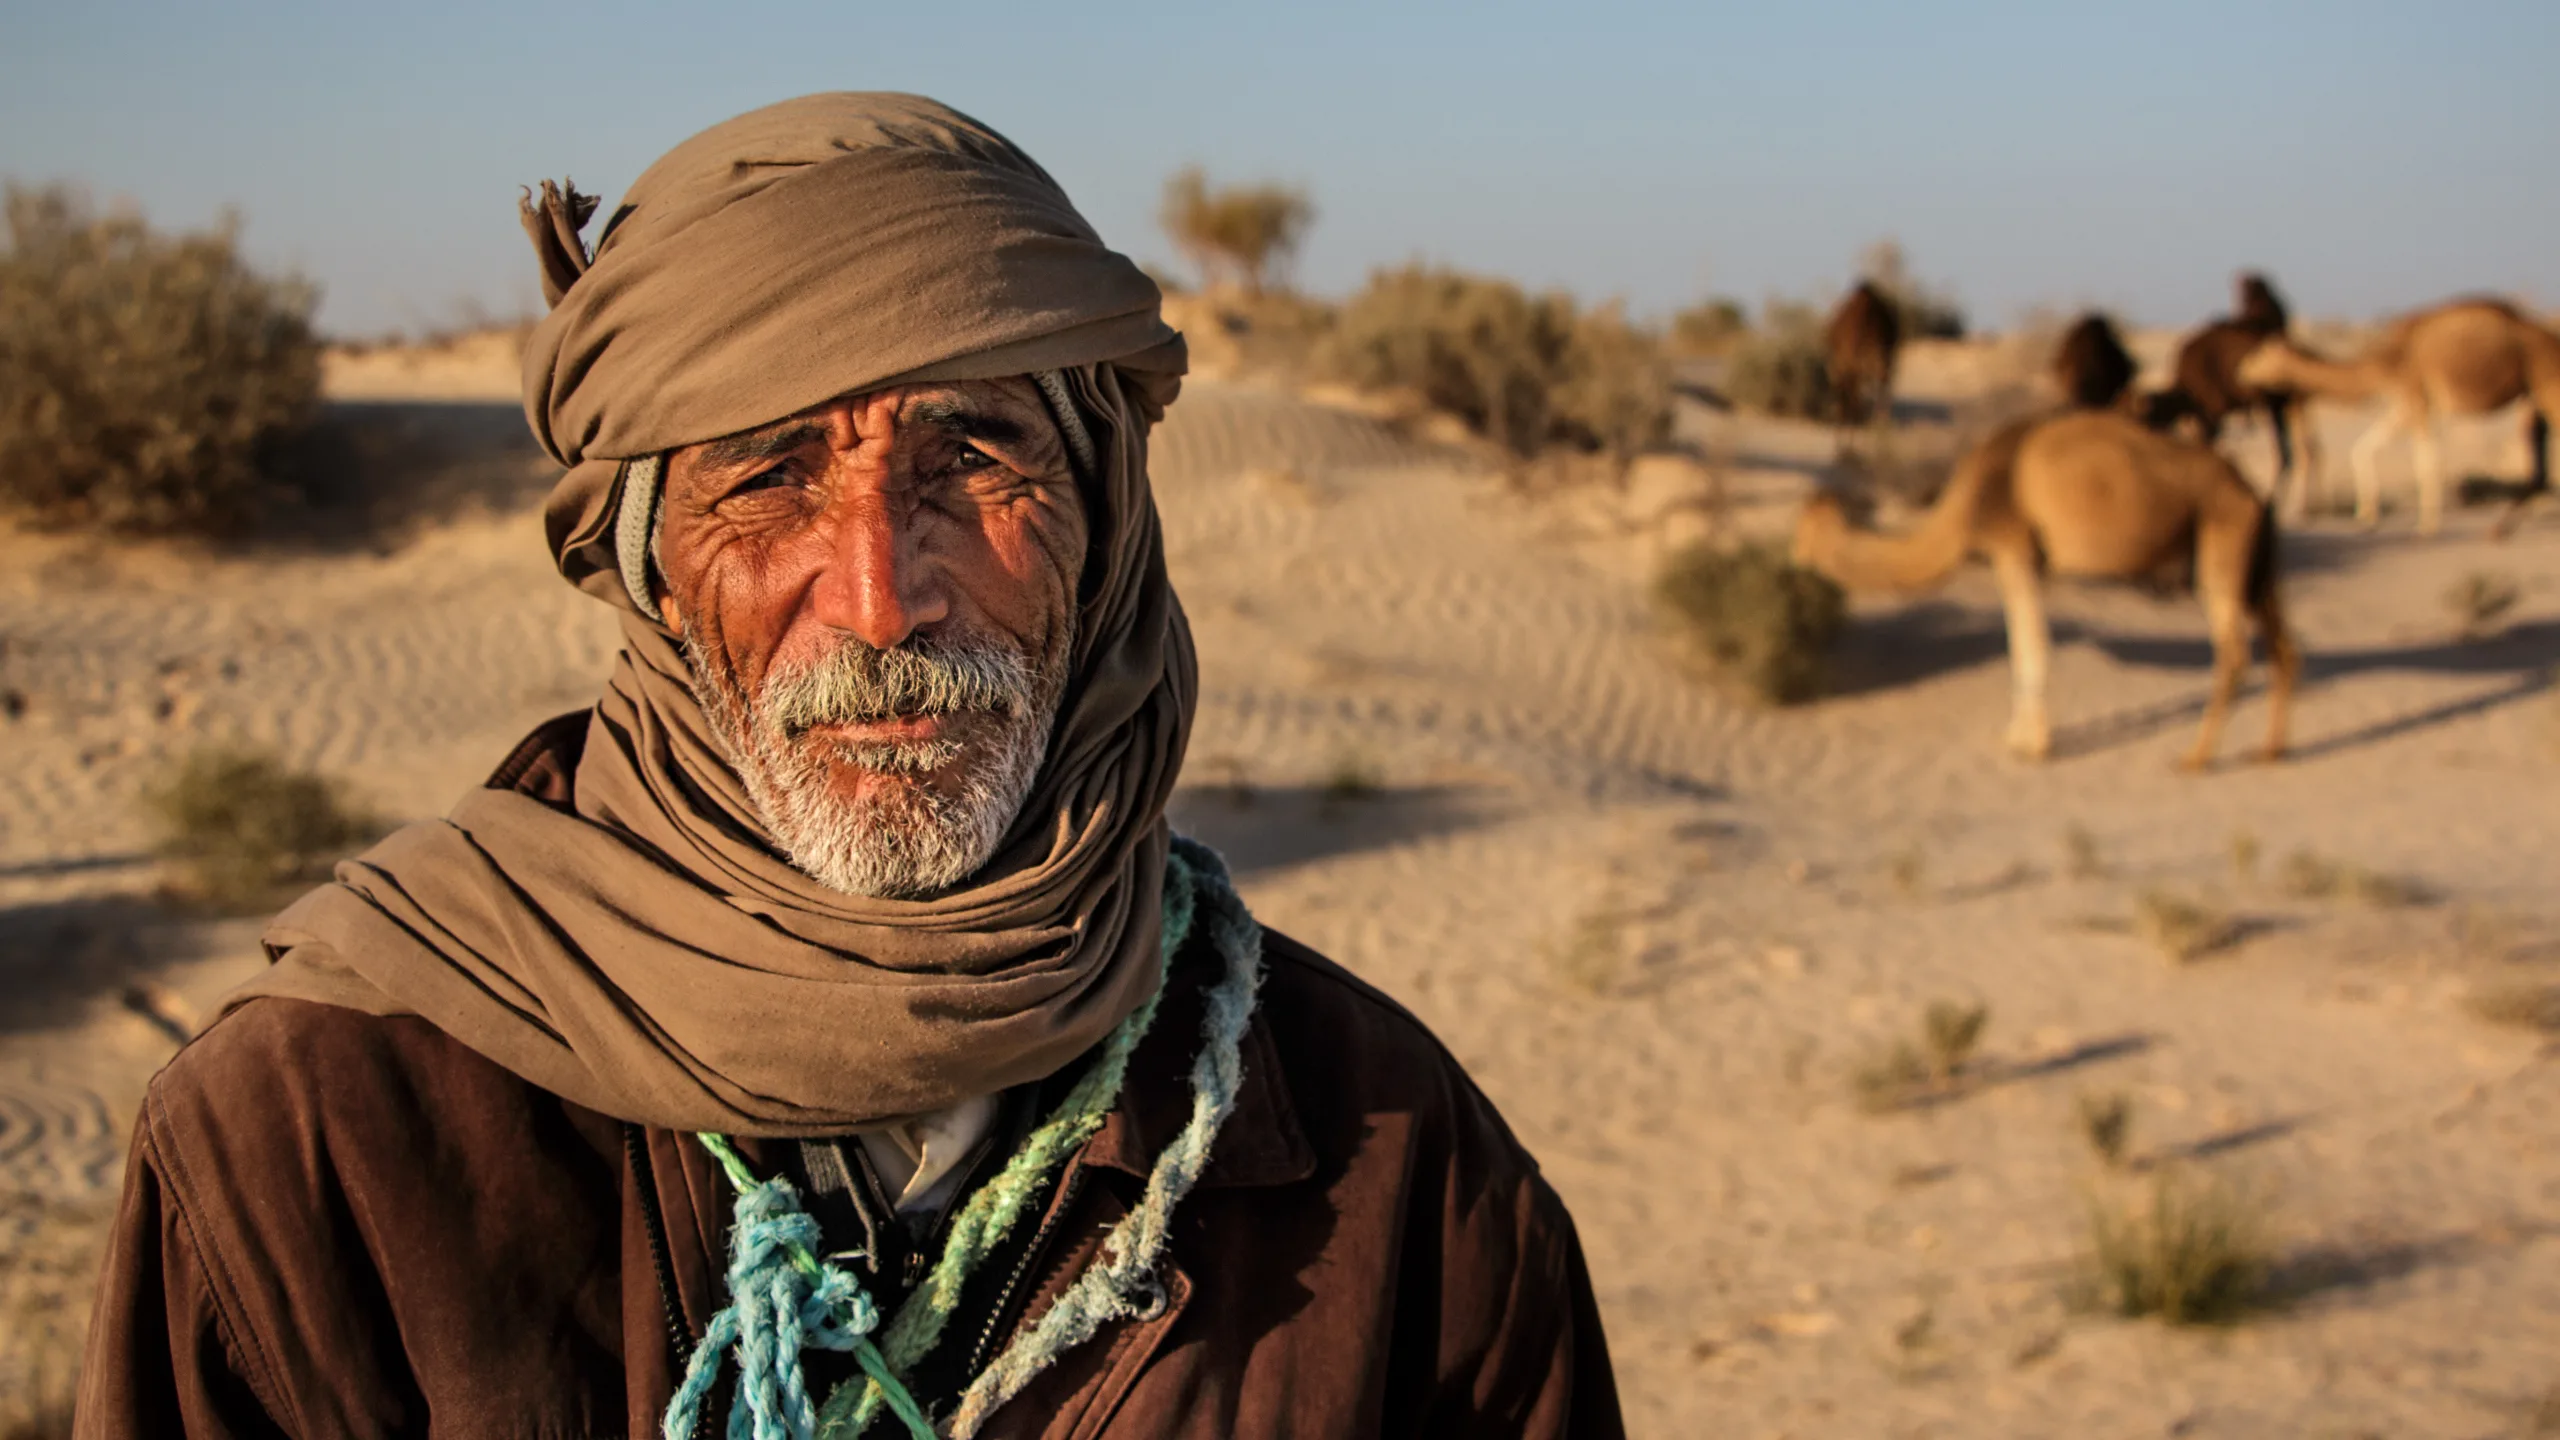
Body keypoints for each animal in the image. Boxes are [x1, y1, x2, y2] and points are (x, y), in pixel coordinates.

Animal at [1793, 410, 2298, 770]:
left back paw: (2196, 758)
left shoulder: (2011, 548)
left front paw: (2030, 746)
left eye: (1801, 528)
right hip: (2255, 558)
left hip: (2222, 536)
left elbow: (2030, 644)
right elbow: (2024, 643)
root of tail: (2250, 490)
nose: (1793, 560)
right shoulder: (2030, 560)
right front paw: (2020, 736)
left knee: (2234, 652)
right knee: (2282, 645)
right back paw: (2270, 751)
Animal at [2236, 296, 2560, 537]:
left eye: (2260, 353)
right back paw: (2502, 527)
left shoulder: (2415, 397)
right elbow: (2363, 448)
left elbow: (2425, 460)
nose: (2244, 370)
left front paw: (2425, 526)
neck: (2382, 361)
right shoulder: (2403, 403)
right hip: (2532, 394)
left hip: (2547, 384)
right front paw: (2367, 516)